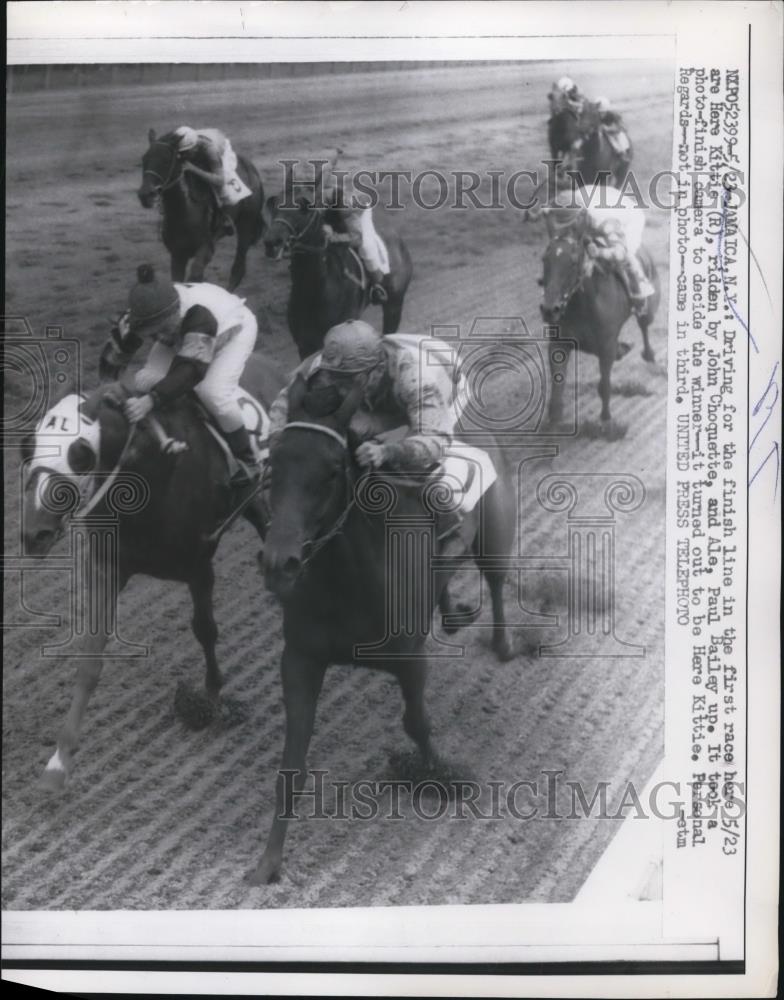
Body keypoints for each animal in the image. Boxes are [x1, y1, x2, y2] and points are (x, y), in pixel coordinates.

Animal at [19, 356, 284, 792]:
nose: (35, 534)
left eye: (80, 453)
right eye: (29, 448)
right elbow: (90, 658)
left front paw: (211, 699)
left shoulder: (198, 563)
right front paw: (59, 762)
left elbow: (205, 630)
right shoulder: (107, 565)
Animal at [139, 131, 266, 292]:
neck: (184, 211)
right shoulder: (177, 254)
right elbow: (179, 281)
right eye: (144, 159)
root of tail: (251, 168)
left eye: (166, 160)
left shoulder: (206, 248)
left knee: (238, 268)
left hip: (246, 225)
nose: (145, 195)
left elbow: (195, 276)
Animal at [250, 376, 516, 884]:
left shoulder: (411, 659)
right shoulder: (300, 658)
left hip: (495, 535)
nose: (279, 562)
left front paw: (440, 776)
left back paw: (504, 643)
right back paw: (453, 611)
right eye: (274, 463)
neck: (348, 582)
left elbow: (417, 722)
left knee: (496, 581)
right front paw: (268, 862)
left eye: (332, 471)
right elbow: (291, 763)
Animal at [536, 211, 660, 426]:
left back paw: (649, 354)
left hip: (648, 309)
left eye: (573, 262)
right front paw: (554, 419)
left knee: (644, 326)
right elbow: (558, 387)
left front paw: (606, 419)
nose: (550, 309)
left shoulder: (606, 348)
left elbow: (604, 386)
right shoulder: (559, 344)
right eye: (545, 259)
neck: (584, 307)